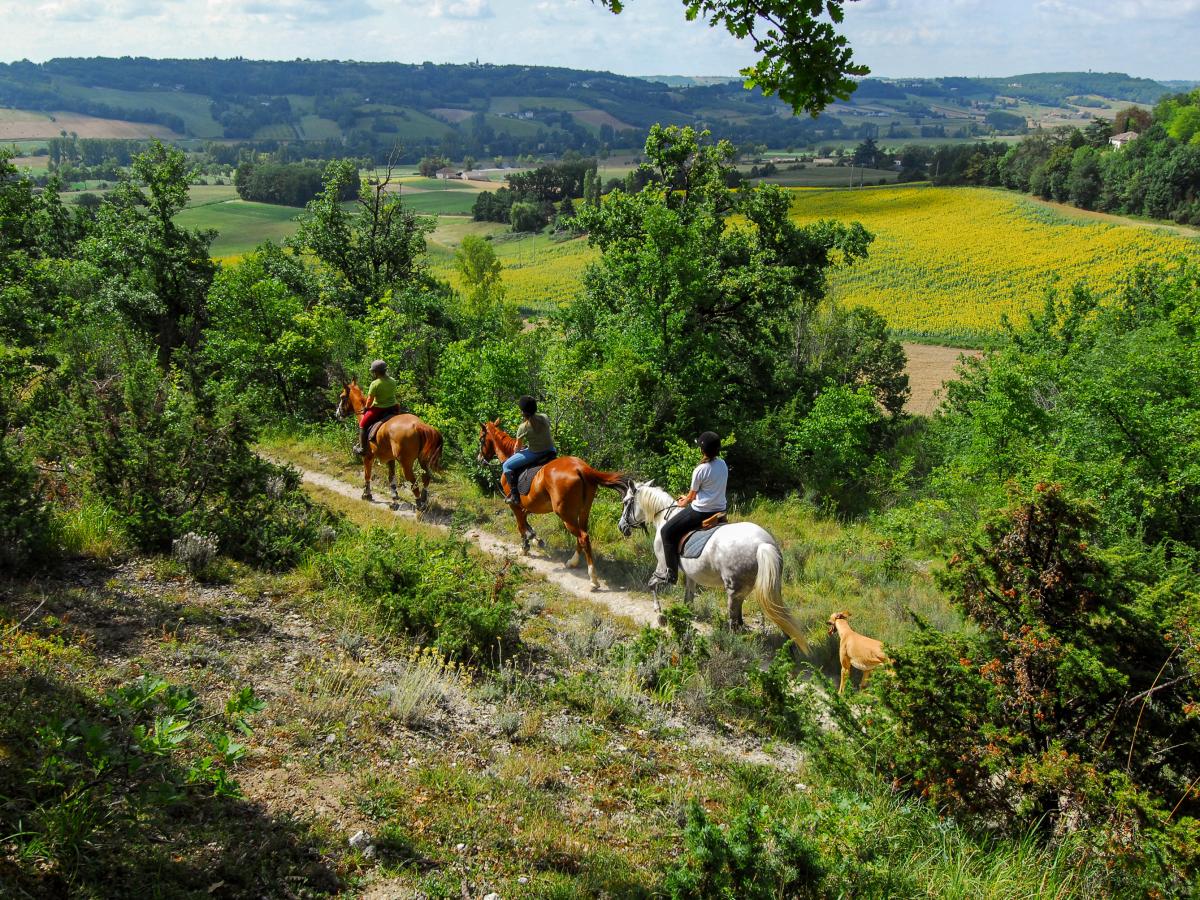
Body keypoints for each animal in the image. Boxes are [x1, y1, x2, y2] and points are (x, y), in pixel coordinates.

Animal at [336, 379, 444, 511]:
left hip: (405, 463)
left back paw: (419, 503)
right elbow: (391, 479)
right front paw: (394, 499)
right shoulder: (390, 459)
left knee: (414, 482)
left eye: (342, 397)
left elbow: (367, 475)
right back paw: (424, 499)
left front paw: (367, 494)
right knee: (426, 477)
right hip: (422, 459)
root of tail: (418, 425)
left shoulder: (368, 456)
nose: (337, 414)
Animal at [477, 422, 628, 592]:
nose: (480, 459)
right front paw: (535, 538)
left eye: (481, 439)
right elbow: (526, 522)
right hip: (583, 512)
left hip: (566, 515)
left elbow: (520, 525)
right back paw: (573, 562)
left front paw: (525, 546)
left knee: (582, 537)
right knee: (583, 536)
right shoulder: (526, 506)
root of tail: (581, 468)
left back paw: (593, 580)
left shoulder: (515, 505)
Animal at [619, 482, 806, 652]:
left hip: (734, 590)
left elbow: (652, 584)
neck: (664, 516)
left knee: (734, 622)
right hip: (761, 588)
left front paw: (659, 614)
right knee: (773, 613)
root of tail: (763, 544)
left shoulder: (662, 566)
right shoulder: (691, 575)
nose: (621, 527)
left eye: (626, 502)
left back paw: (732, 646)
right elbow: (688, 599)